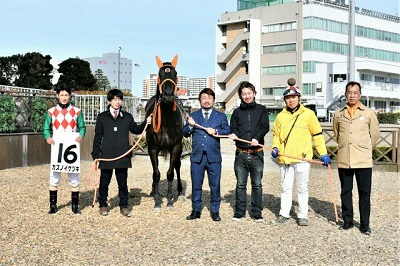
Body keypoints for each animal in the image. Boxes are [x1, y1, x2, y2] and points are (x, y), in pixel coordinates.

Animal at [145, 54, 185, 210]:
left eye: (175, 73)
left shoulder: (175, 147)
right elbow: (156, 174)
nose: (168, 96)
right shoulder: (152, 148)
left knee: (178, 166)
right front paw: (157, 201)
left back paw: (180, 192)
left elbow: (170, 173)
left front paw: (169, 201)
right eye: (160, 74)